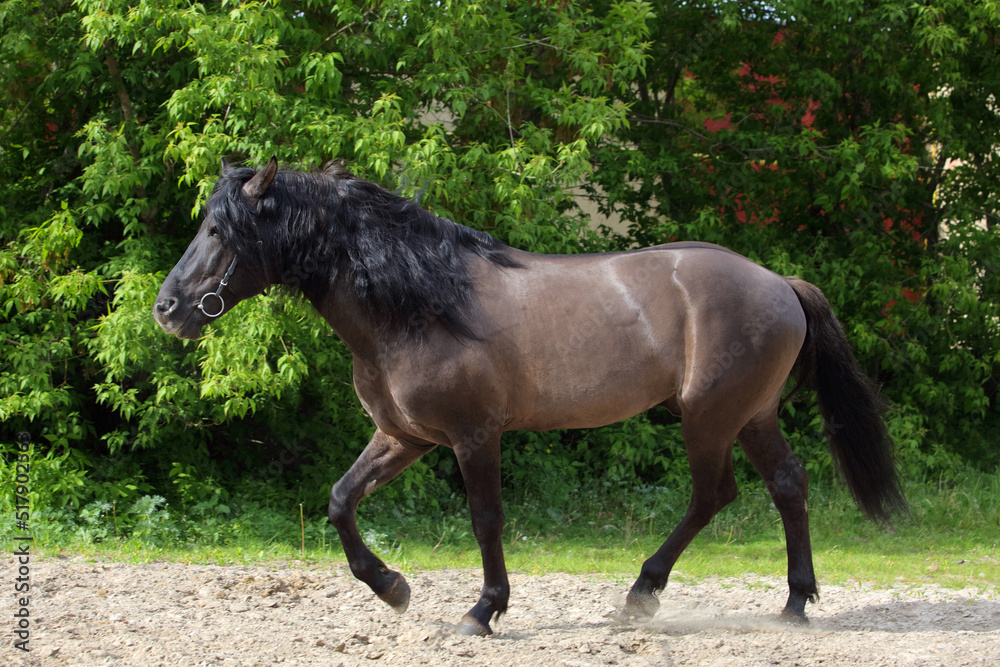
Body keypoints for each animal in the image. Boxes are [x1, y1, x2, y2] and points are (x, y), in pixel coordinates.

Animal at [154, 157, 908, 636]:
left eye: (219, 230)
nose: (168, 309)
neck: (420, 303)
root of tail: (779, 282)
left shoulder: (472, 436)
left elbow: (486, 519)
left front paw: (482, 611)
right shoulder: (405, 436)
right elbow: (341, 500)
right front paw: (393, 588)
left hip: (710, 417)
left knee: (714, 494)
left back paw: (643, 594)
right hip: (750, 415)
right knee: (786, 483)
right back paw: (792, 603)